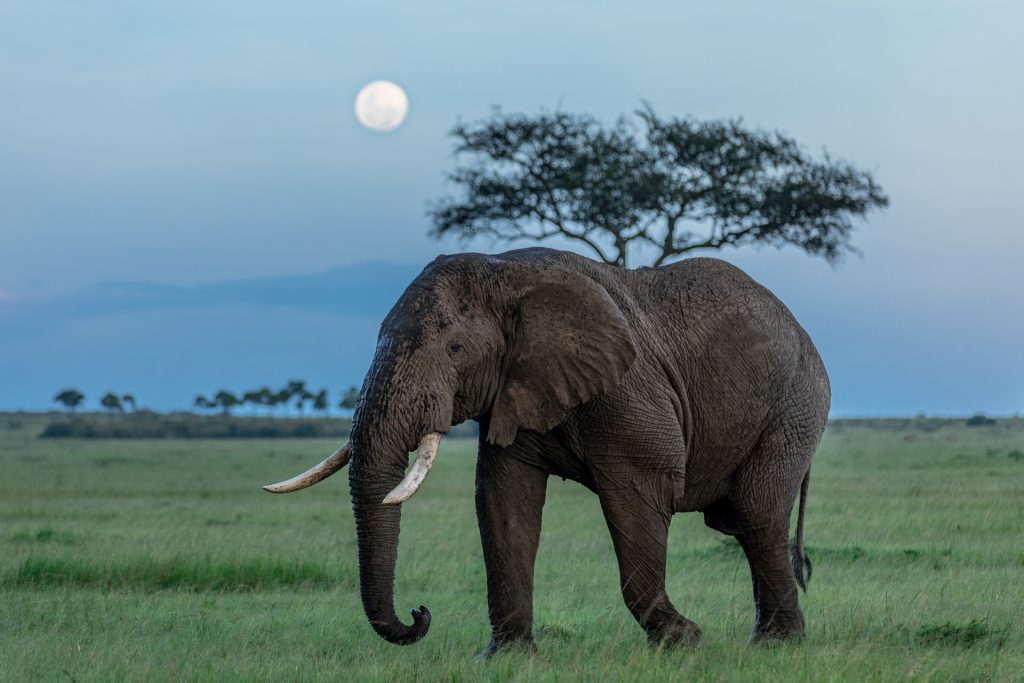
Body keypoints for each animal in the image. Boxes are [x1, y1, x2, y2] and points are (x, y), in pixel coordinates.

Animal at [264, 246, 830, 655]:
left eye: (455, 349)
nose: (419, 613)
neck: (504, 271)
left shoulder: (629, 389)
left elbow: (639, 497)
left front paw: (684, 643)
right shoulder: (513, 390)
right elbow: (503, 504)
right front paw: (507, 658)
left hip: (796, 406)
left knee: (757, 515)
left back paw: (775, 646)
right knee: (742, 521)